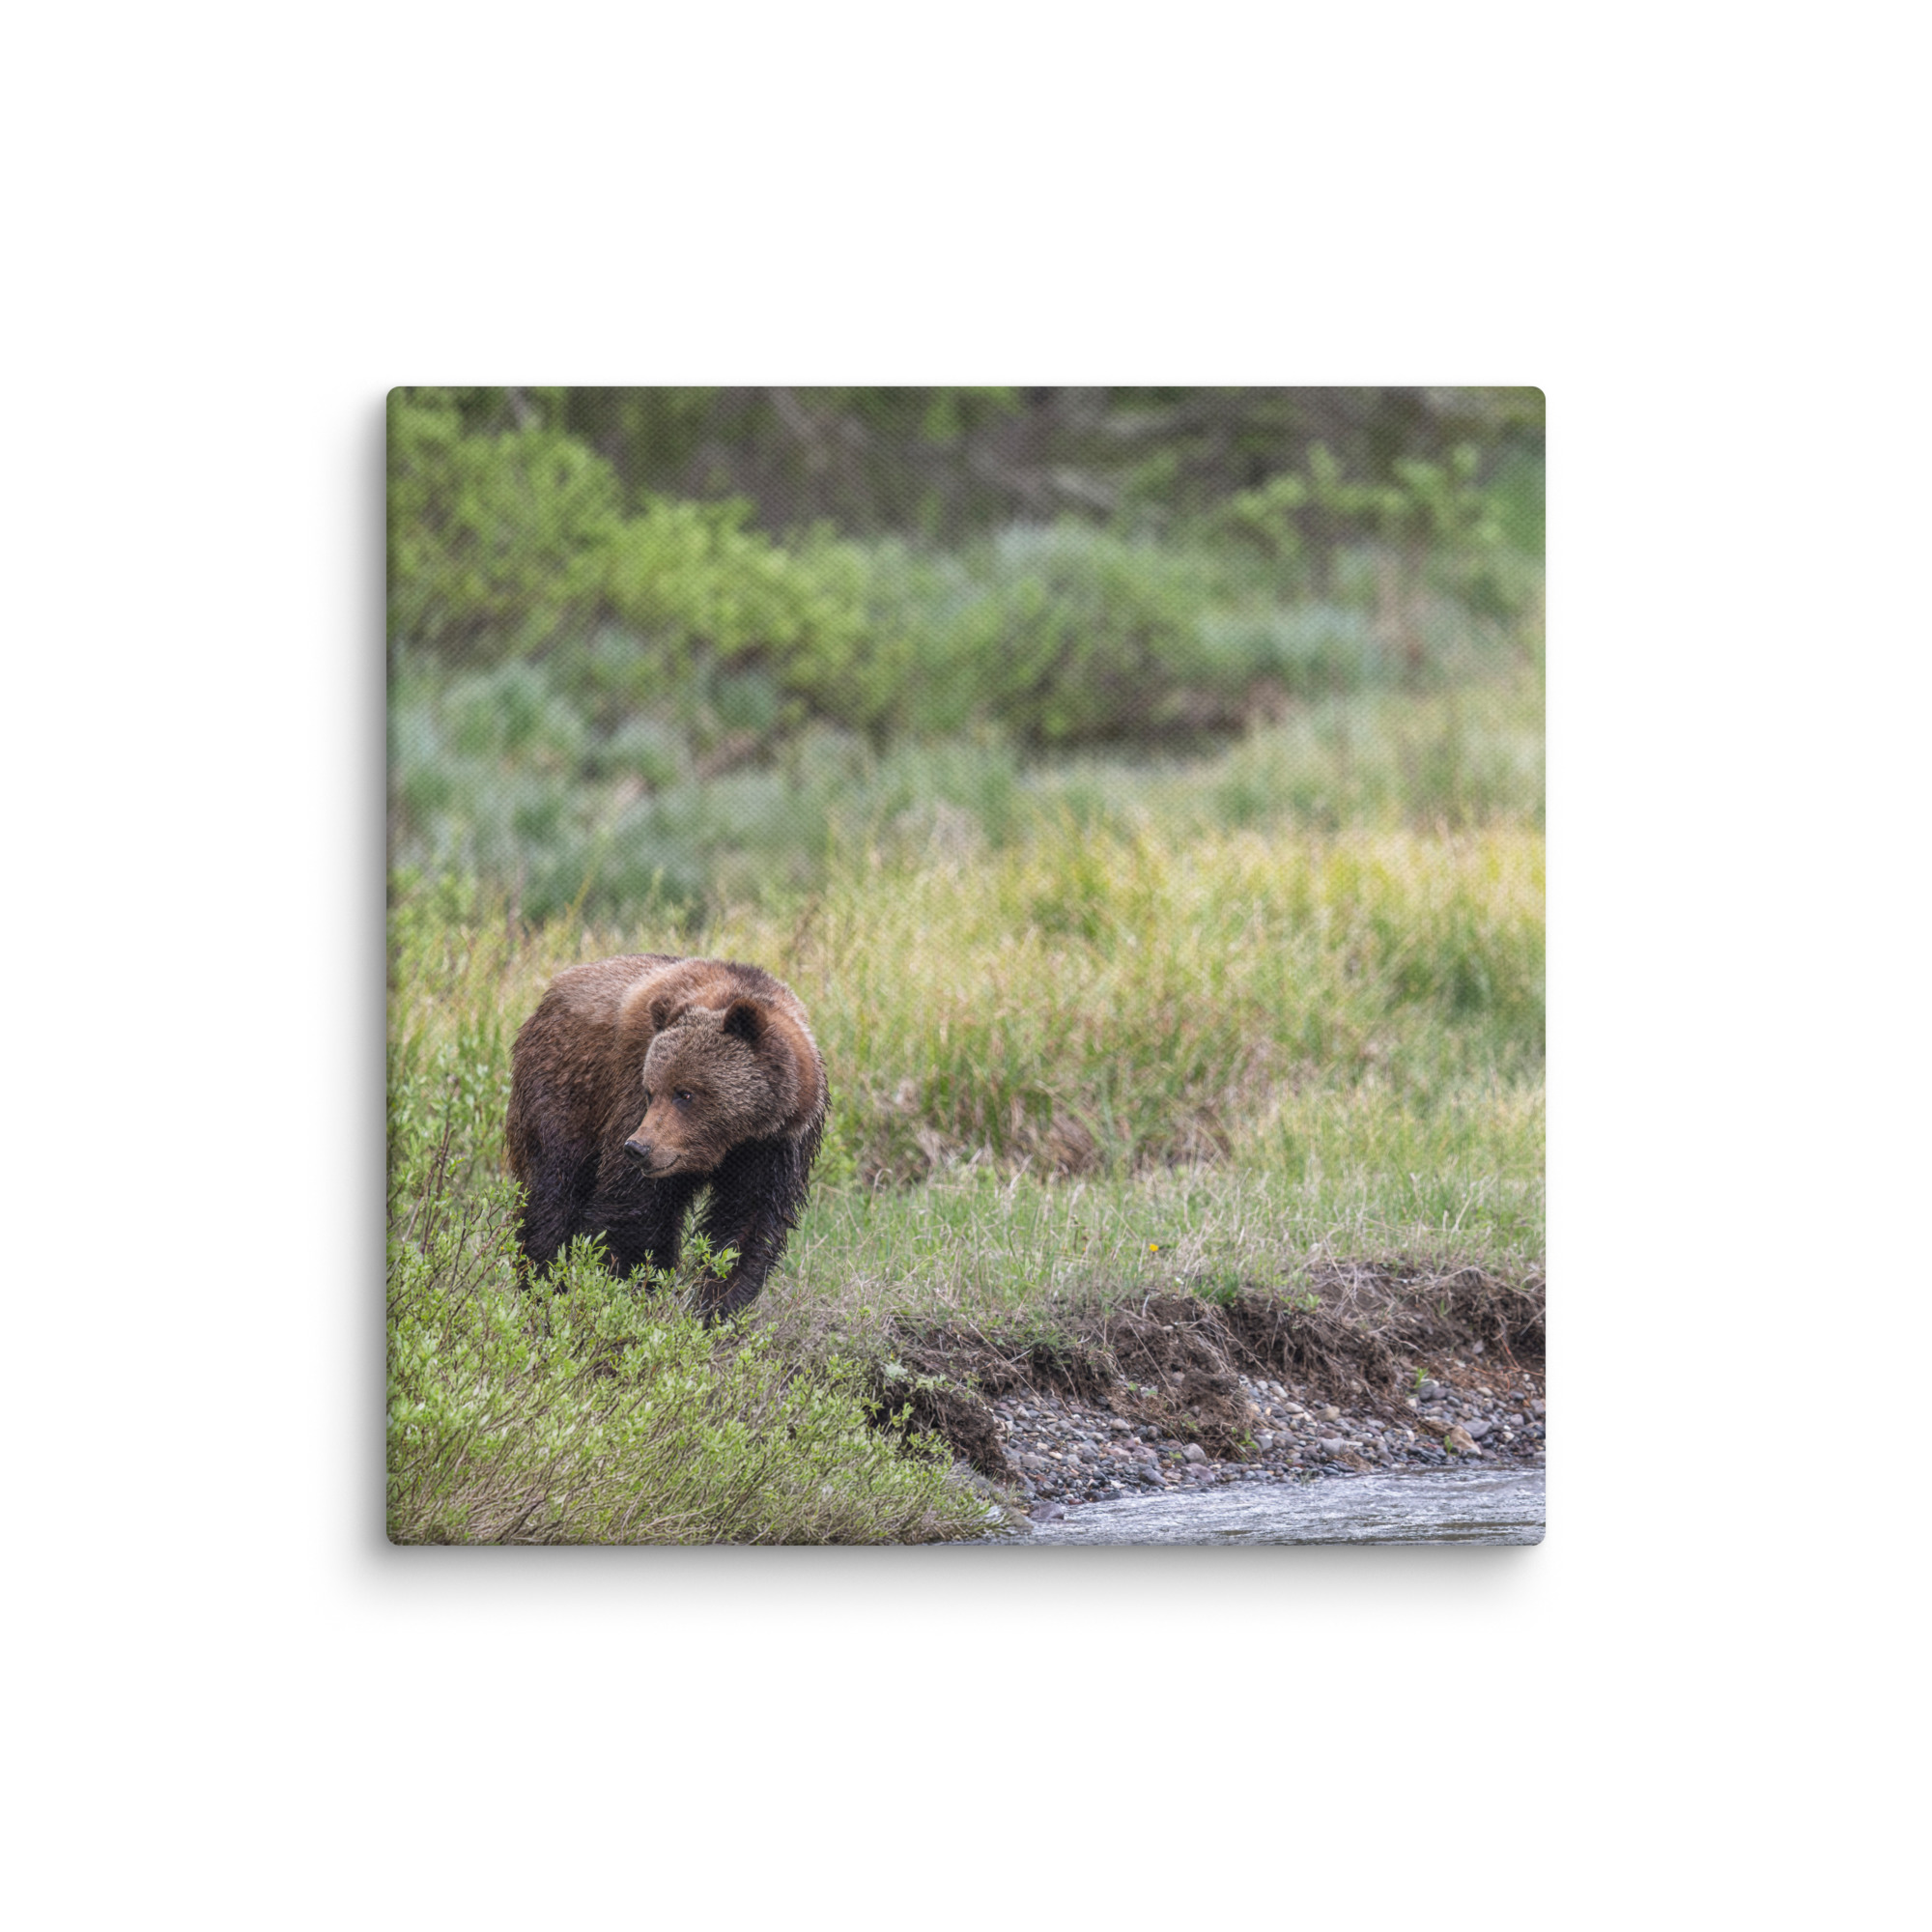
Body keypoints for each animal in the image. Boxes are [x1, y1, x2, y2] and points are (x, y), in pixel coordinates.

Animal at [504, 953, 827, 1320]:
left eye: (685, 1093)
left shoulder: (776, 1146)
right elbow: (634, 1214)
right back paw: (542, 1287)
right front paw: (628, 1291)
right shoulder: (630, 1097)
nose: (638, 1148)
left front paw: (716, 1306)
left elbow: (747, 1226)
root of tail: (552, 991)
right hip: (565, 1089)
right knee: (552, 1191)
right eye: (651, 1090)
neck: (732, 1139)